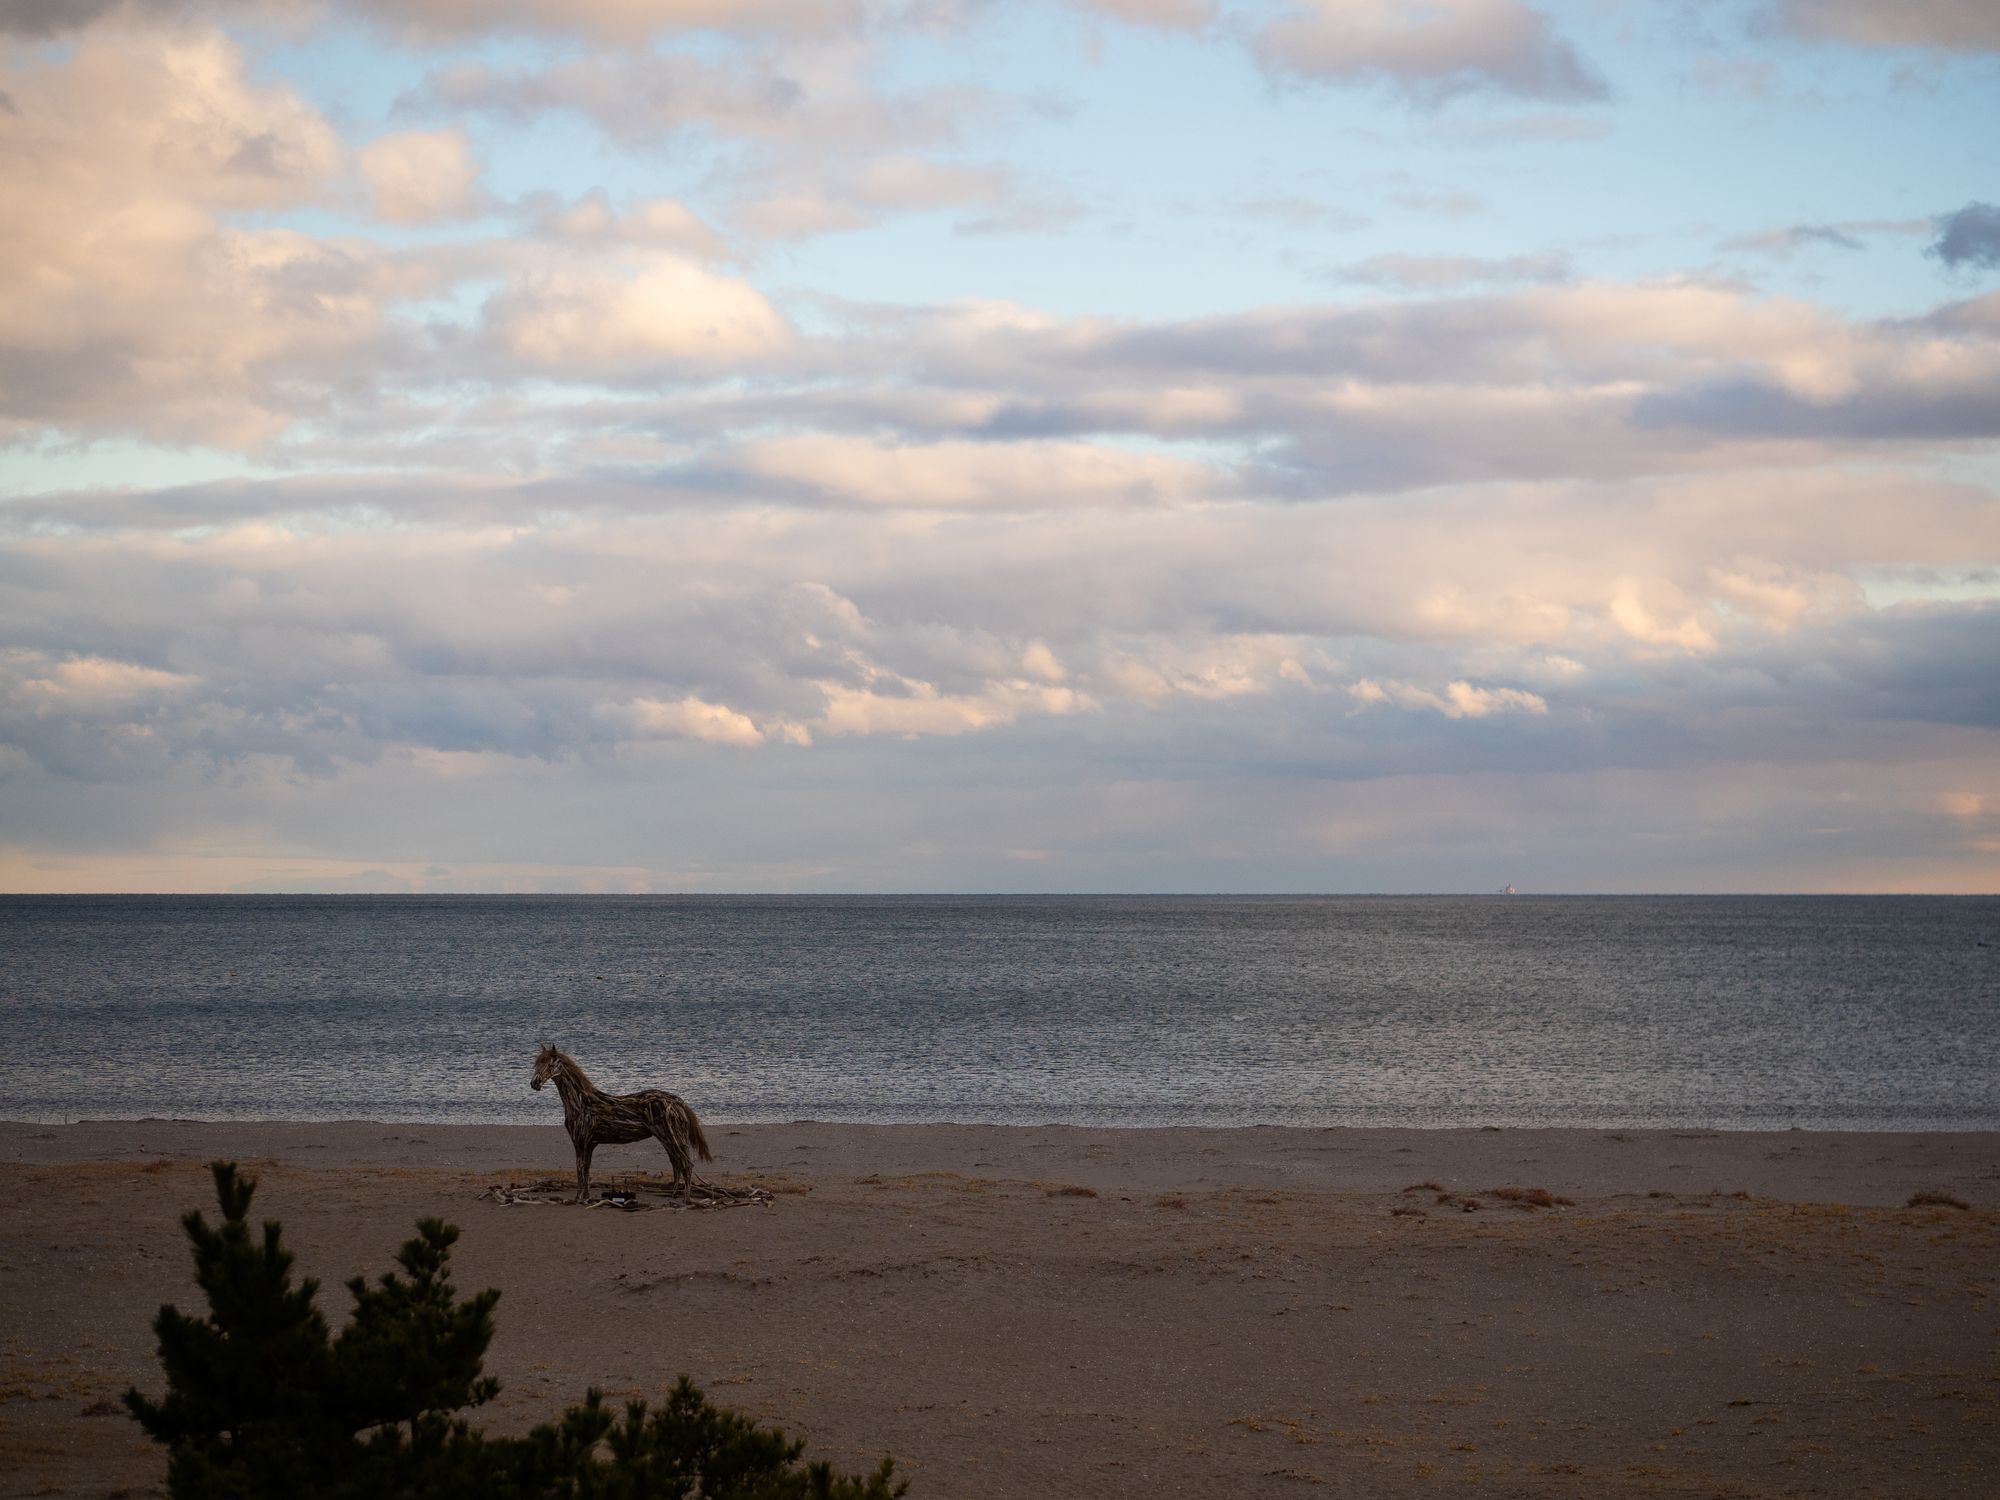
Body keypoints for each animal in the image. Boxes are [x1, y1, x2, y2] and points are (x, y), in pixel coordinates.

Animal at [529, 1045, 713, 1203]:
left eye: (550, 1064)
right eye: (537, 1063)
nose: (534, 1083)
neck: (581, 1102)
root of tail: (678, 1102)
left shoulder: (581, 1142)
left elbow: (580, 1169)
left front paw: (578, 1198)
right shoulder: (590, 1144)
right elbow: (586, 1169)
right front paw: (585, 1197)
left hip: (674, 1138)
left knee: (686, 1164)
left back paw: (686, 1199)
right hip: (667, 1140)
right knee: (677, 1164)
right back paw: (673, 1196)